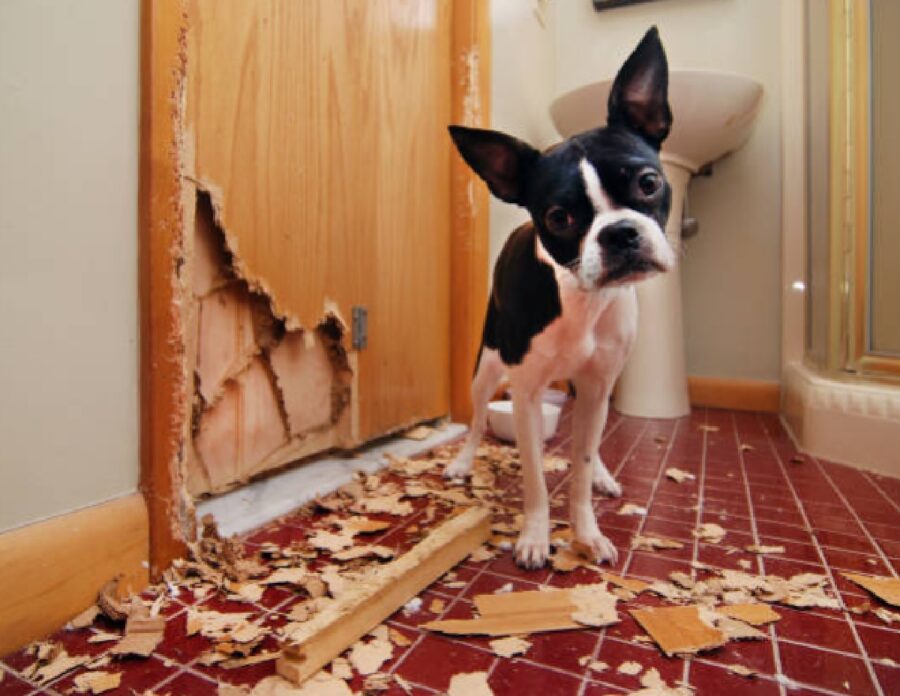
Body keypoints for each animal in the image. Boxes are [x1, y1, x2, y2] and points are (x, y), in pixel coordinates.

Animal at [446, 29, 672, 568]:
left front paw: (587, 533)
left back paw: (606, 475)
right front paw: (535, 536)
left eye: (648, 183)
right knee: (477, 419)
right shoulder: (526, 394)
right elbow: (534, 479)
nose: (620, 233)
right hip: (486, 369)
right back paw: (463, 461)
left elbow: (582, 467)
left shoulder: (594, 387)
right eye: (559, 217)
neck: (581, 300)